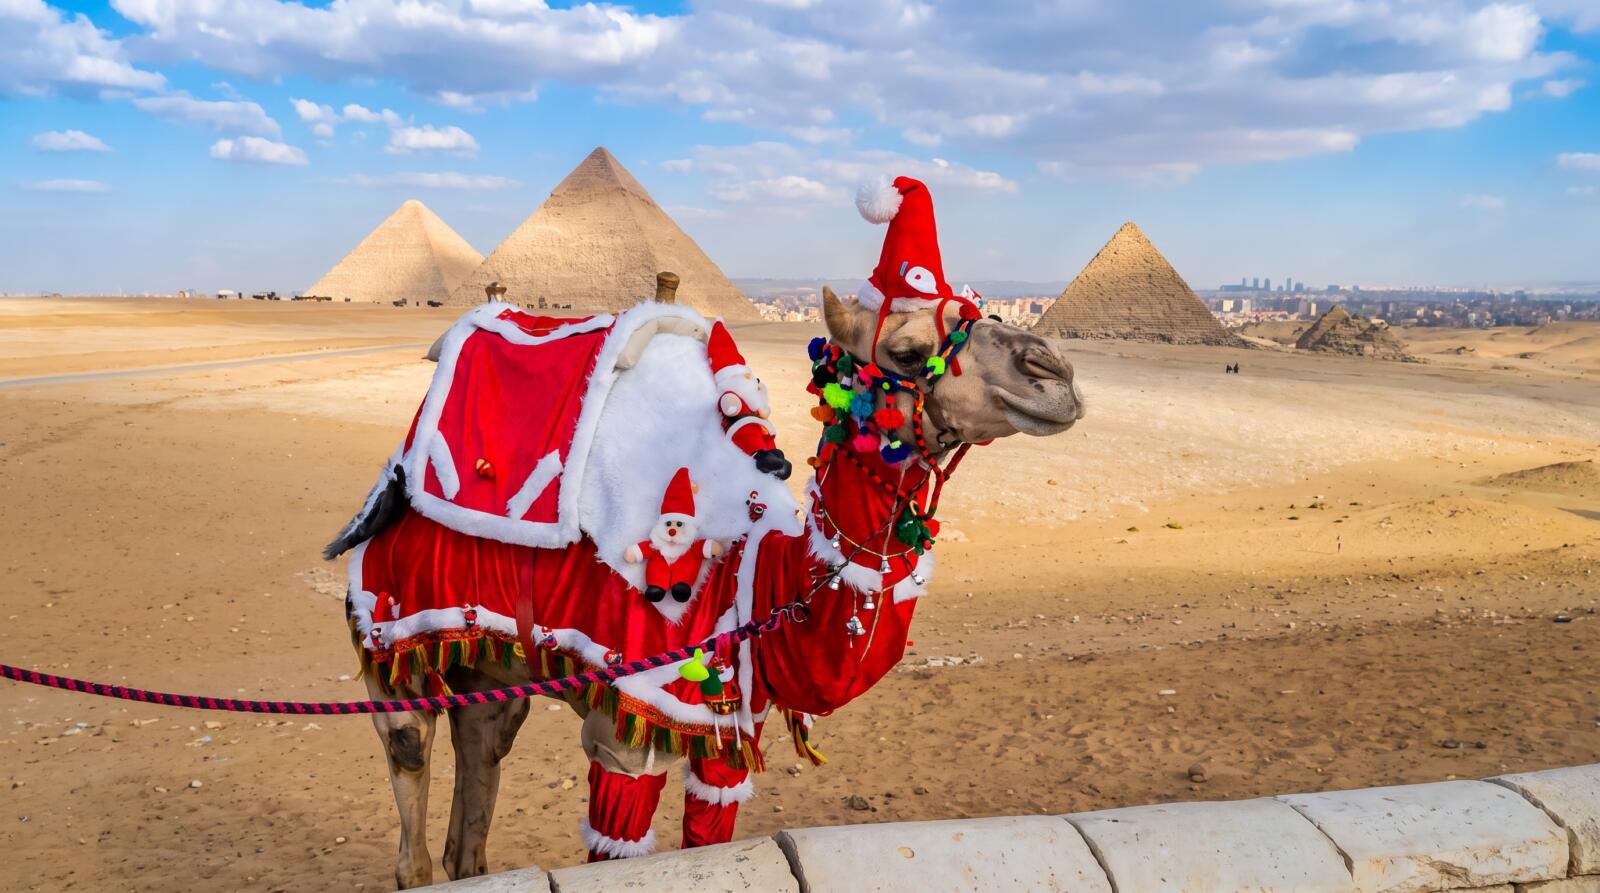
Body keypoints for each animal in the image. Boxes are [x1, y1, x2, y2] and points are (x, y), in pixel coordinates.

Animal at [333, 286, 1082, 888]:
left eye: (983, 312)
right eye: (907, 350)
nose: (1054, 372)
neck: (756, 575)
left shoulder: (727, 727)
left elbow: (710, 836)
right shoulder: (628, 723)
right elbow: (616, 844)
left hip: (491, 668)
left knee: (477, 780)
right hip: (390, 635)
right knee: (411, 779)